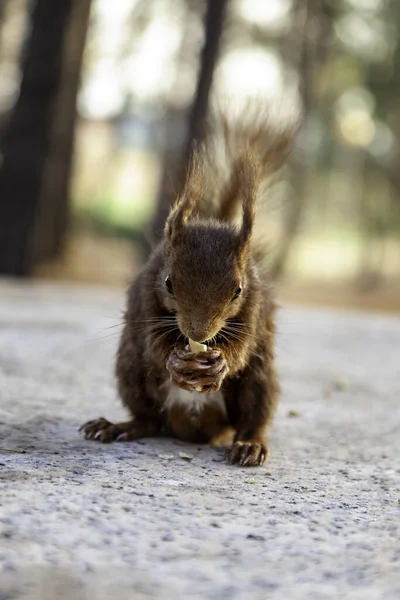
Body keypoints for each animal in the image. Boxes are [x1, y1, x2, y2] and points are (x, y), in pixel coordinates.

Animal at [79, 105, 296, 466]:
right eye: (168, 283)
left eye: (237, 291)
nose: (198, 334)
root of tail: (193, 427)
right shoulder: (145, 296)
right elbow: (154, 341)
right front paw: (175, 361)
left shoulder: (255, 306)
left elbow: (242, 346)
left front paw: (221, 362)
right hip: (131, 373)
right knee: (149, 419)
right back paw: (118, 426)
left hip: (260, 381)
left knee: (253, 418)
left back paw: (249, 444)